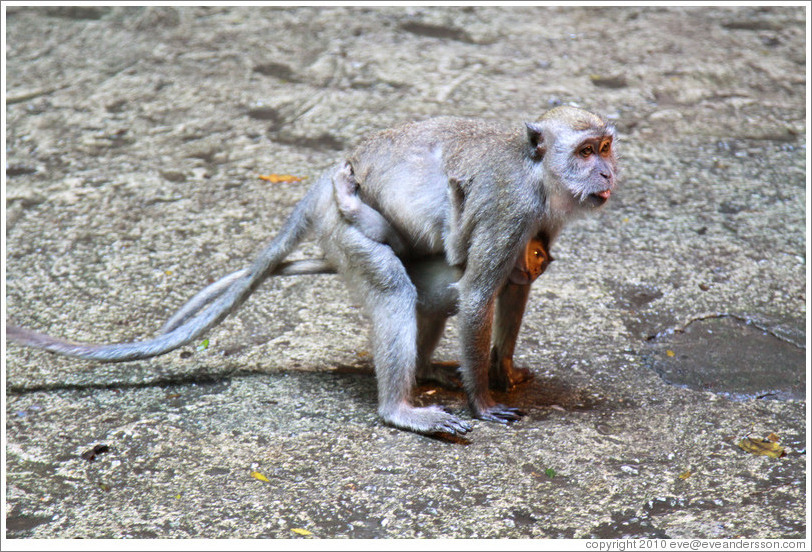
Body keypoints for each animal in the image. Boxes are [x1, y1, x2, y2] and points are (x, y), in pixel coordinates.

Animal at [6, 106, 620, 436]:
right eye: (585, 151)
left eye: (606, 146)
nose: (608, 173)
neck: (537, 174)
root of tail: (323, 185)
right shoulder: (512, 209)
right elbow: (476, 296)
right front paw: (485, 401)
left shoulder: (539, 222)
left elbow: (513, 288)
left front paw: (504, 368)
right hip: (344, 233)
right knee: (395, 288)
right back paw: (399, 408)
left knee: (425, 292)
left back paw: (425, 373)